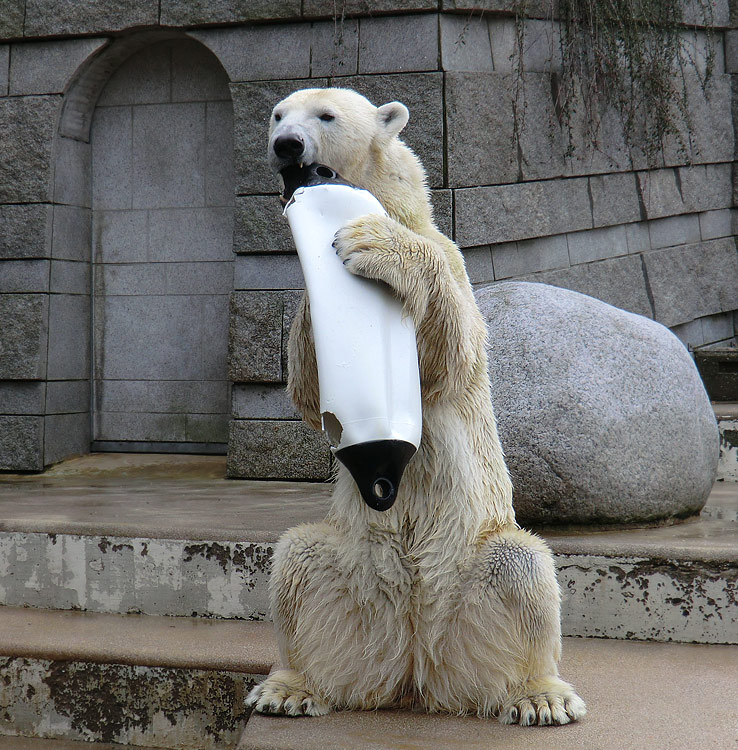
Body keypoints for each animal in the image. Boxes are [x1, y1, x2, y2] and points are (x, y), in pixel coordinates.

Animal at [244, 88, 584, 728]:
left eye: (326, 116)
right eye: (277, 115)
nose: (287, 146)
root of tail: (418, 664)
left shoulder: (449, 259)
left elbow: (450, 351)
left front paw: (373, 246)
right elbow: (307, 390)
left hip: (475, 566)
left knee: (521, 568)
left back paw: (538, 695)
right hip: (352, 575)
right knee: (298, 563)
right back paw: (290, 687)